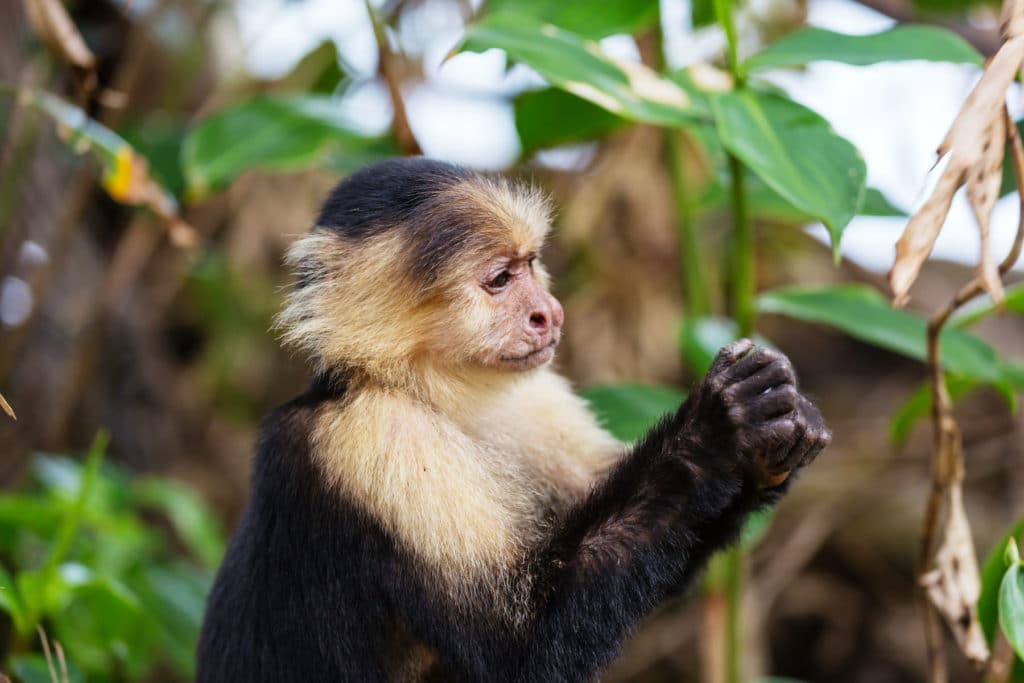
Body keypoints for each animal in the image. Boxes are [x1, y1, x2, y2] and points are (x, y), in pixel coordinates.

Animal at [195, 156, 827, 683]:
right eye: (500, 279)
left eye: (530, 264)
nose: (550, 313)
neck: (430, 392)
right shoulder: (375, 437)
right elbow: (518, 647)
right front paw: (718, 428)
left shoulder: (534, 397)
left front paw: (775, 439)